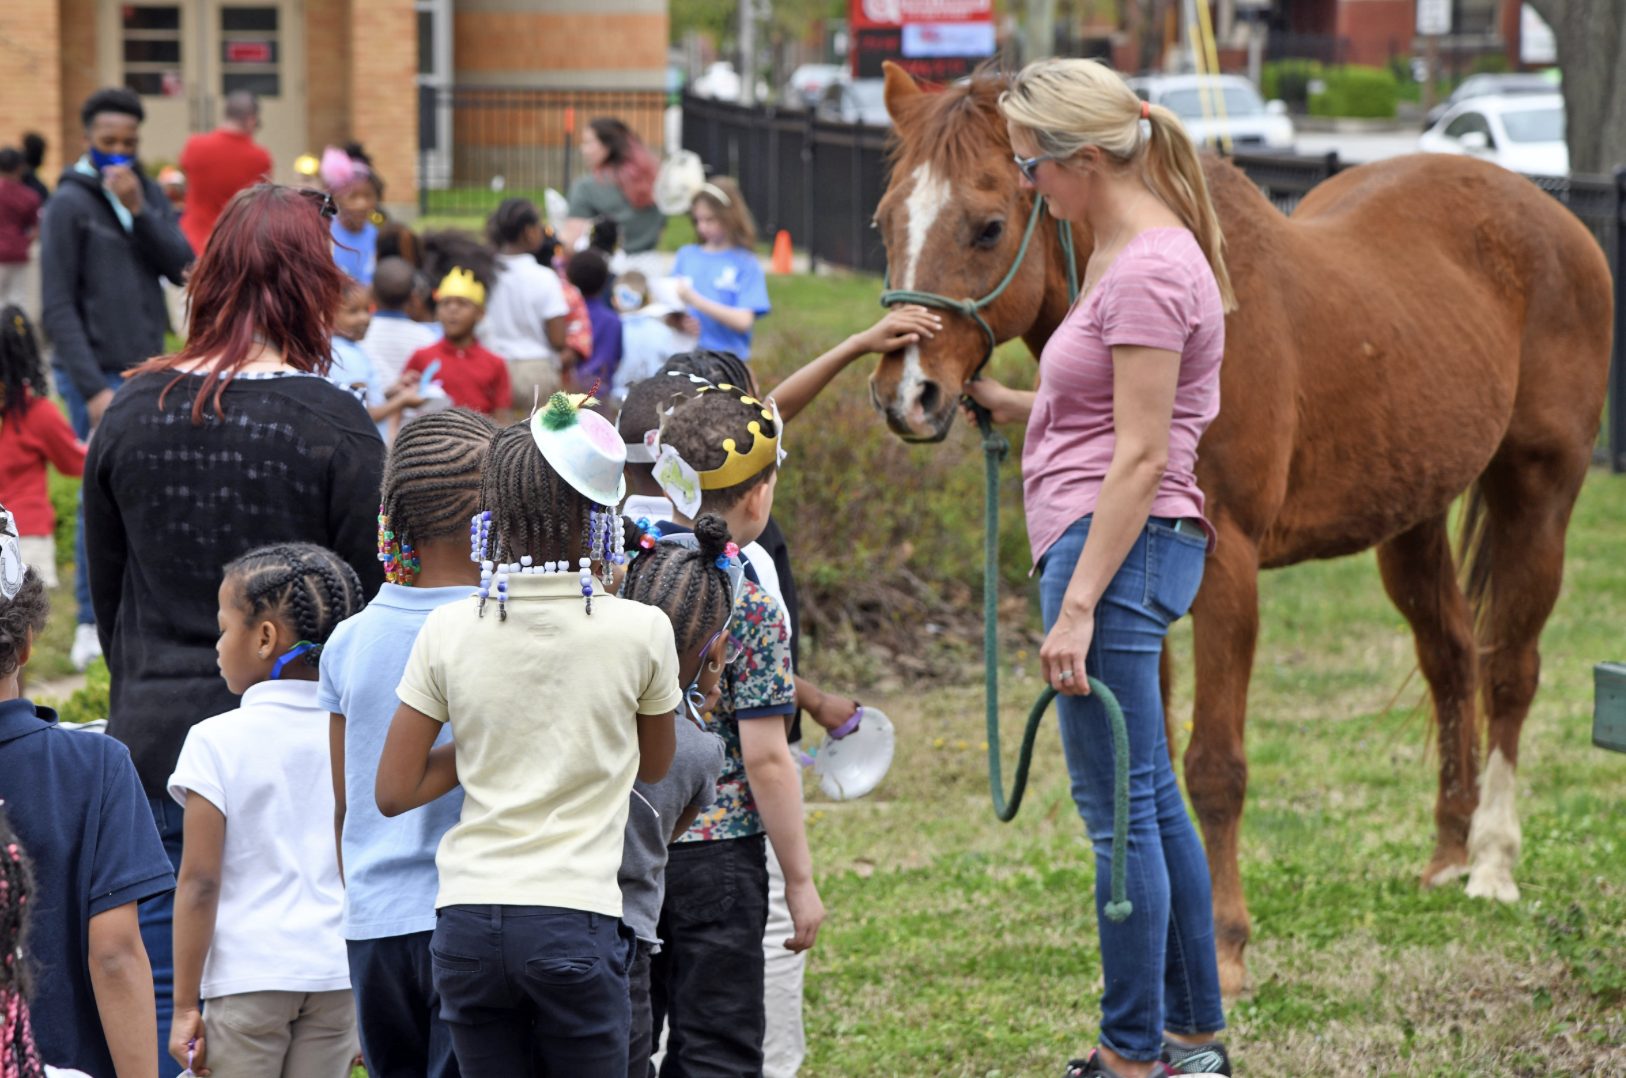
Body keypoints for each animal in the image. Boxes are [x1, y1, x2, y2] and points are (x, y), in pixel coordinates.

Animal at [871, 65, 1606, 995]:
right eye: (886, 220)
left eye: (988, 224)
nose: (907, 395)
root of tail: (1552, 216)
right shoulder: (1119, 593)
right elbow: (1145, 763)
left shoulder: (1224, 575)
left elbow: (1214, 767)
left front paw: (1226, 948)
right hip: (1411, 517)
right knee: (1450, 658)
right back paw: (1448, 850)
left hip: (1540, 491)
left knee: (1510, 669)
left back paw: (1493, 862)